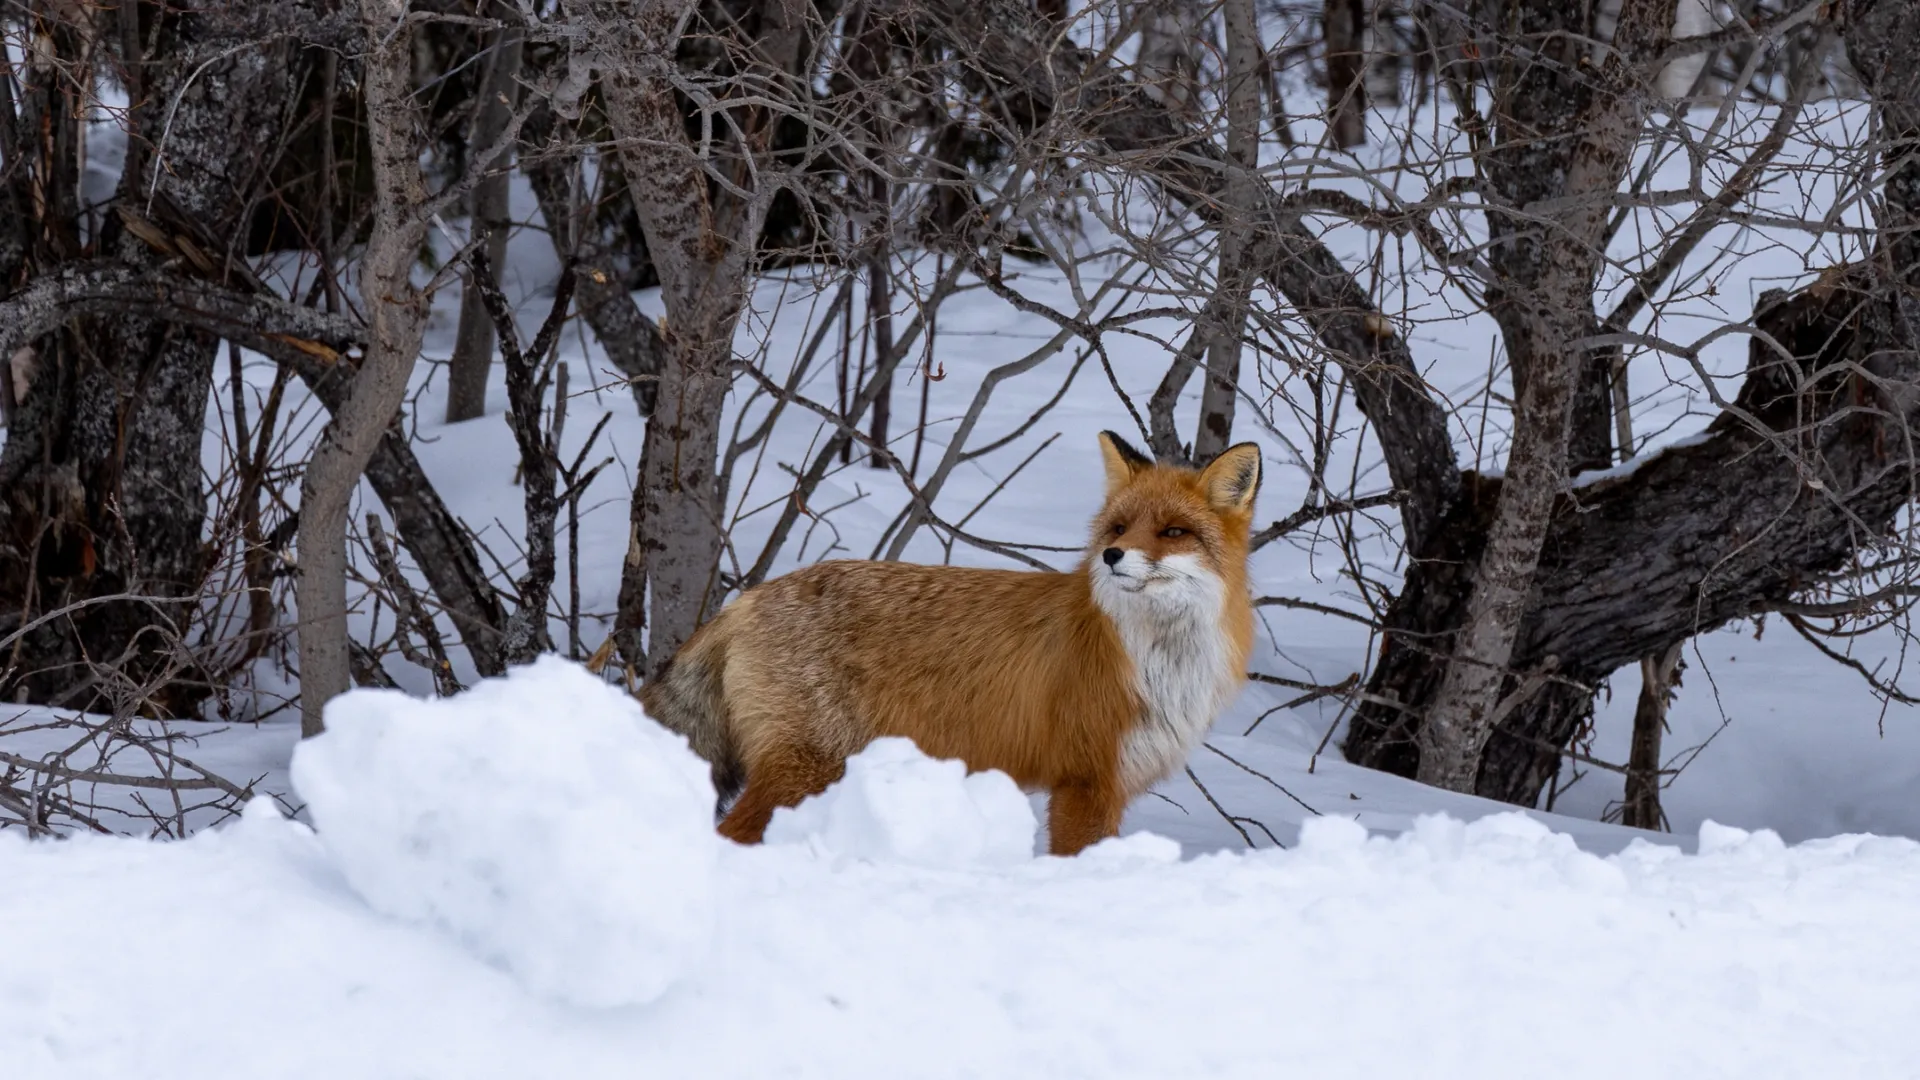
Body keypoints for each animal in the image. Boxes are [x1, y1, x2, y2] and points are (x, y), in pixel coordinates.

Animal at [641, 428, 1259, 849]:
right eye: (1119, 528)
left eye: (1173, 531)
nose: (1110, 556)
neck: (1154, 658)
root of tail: (748, 598)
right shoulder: (1085, 780)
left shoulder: (1110, 781)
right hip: (807, 767)